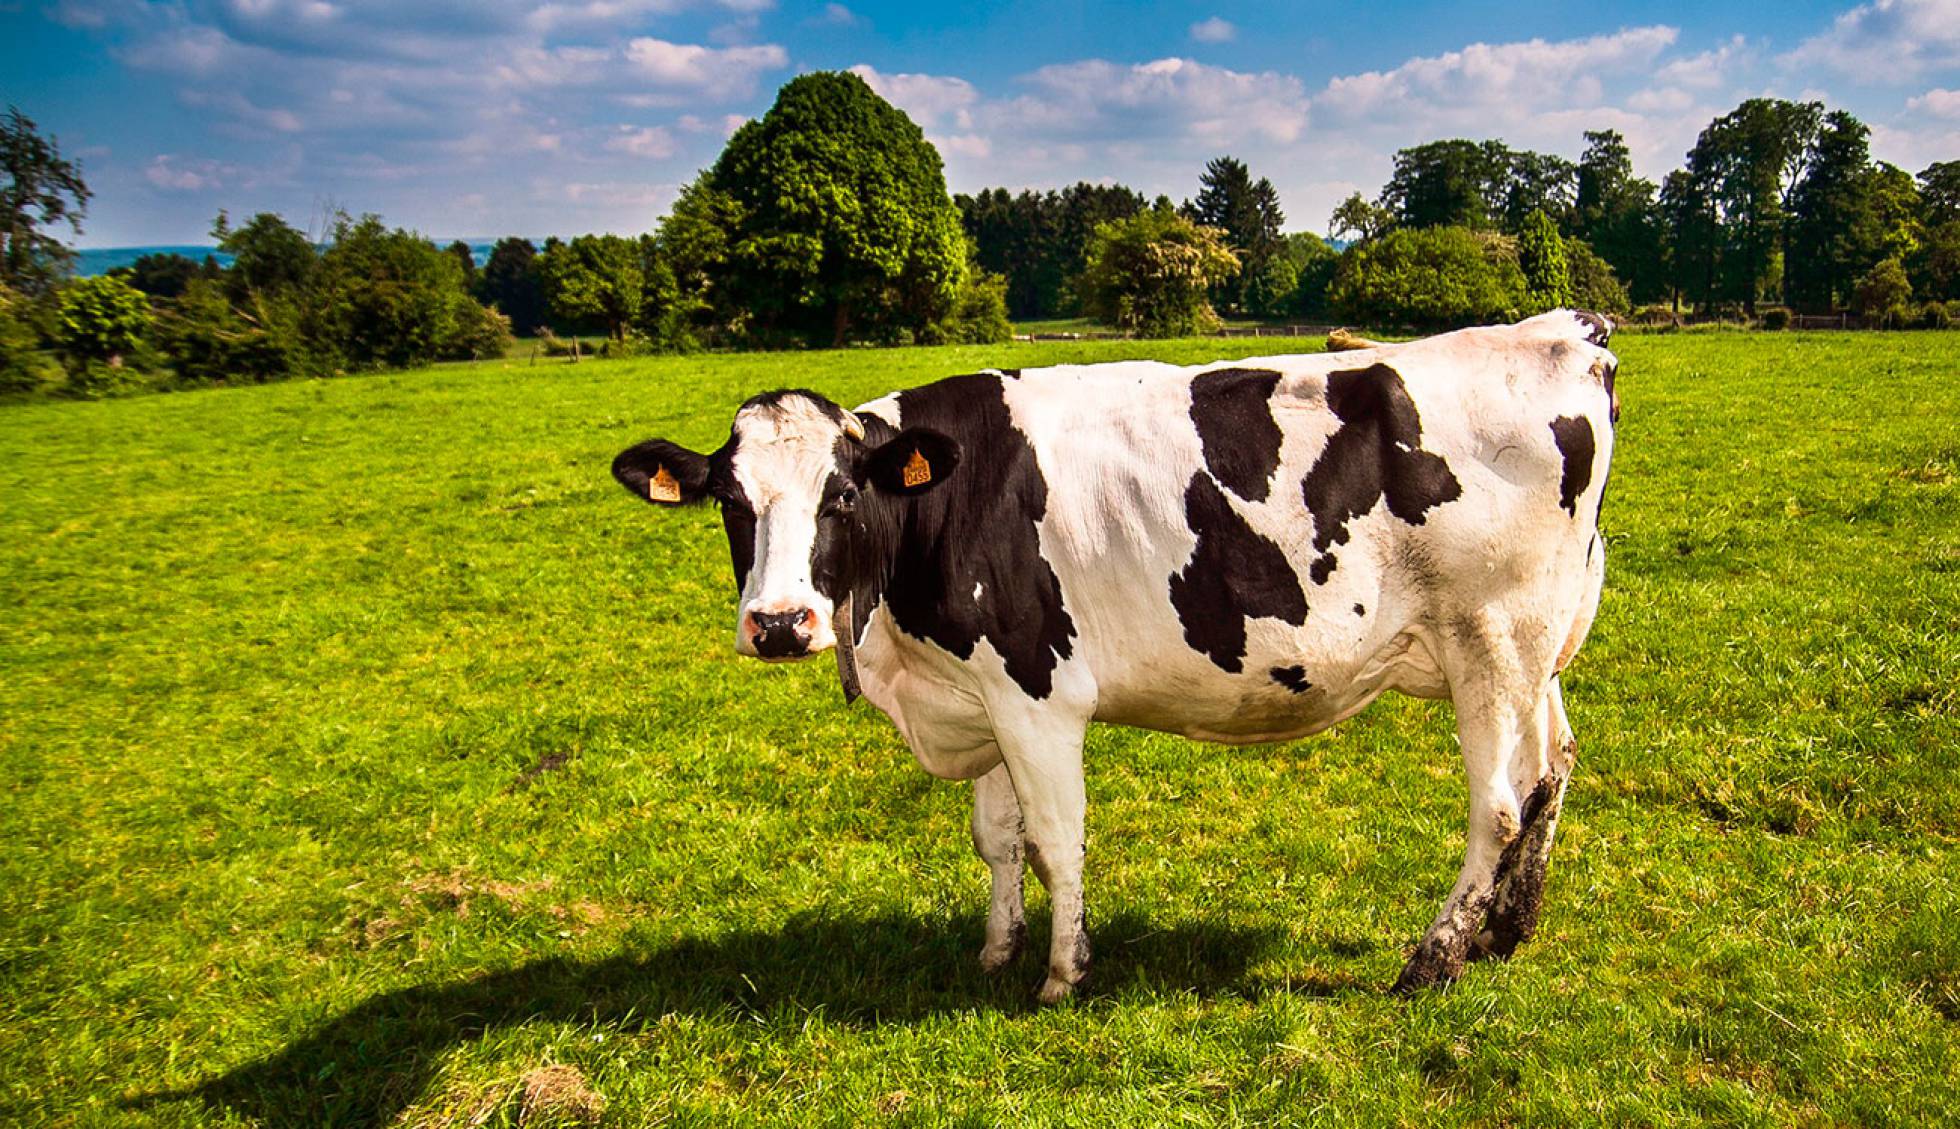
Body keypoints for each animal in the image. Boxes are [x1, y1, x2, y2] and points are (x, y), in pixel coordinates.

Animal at [611, 309, 1618, 1001]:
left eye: (843, 495)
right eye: (731, 502)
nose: (780, 623)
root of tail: (1566, 330)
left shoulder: (1035, 690)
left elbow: (1056, 837)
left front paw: (1062, 972)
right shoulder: (981, 690)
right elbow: (997, 838)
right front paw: (996, 949)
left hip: (1490, 639)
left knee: (1497, 805)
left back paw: (1435, 957)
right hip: (1535, 646)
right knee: (1552, 767)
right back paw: (1507, 928)